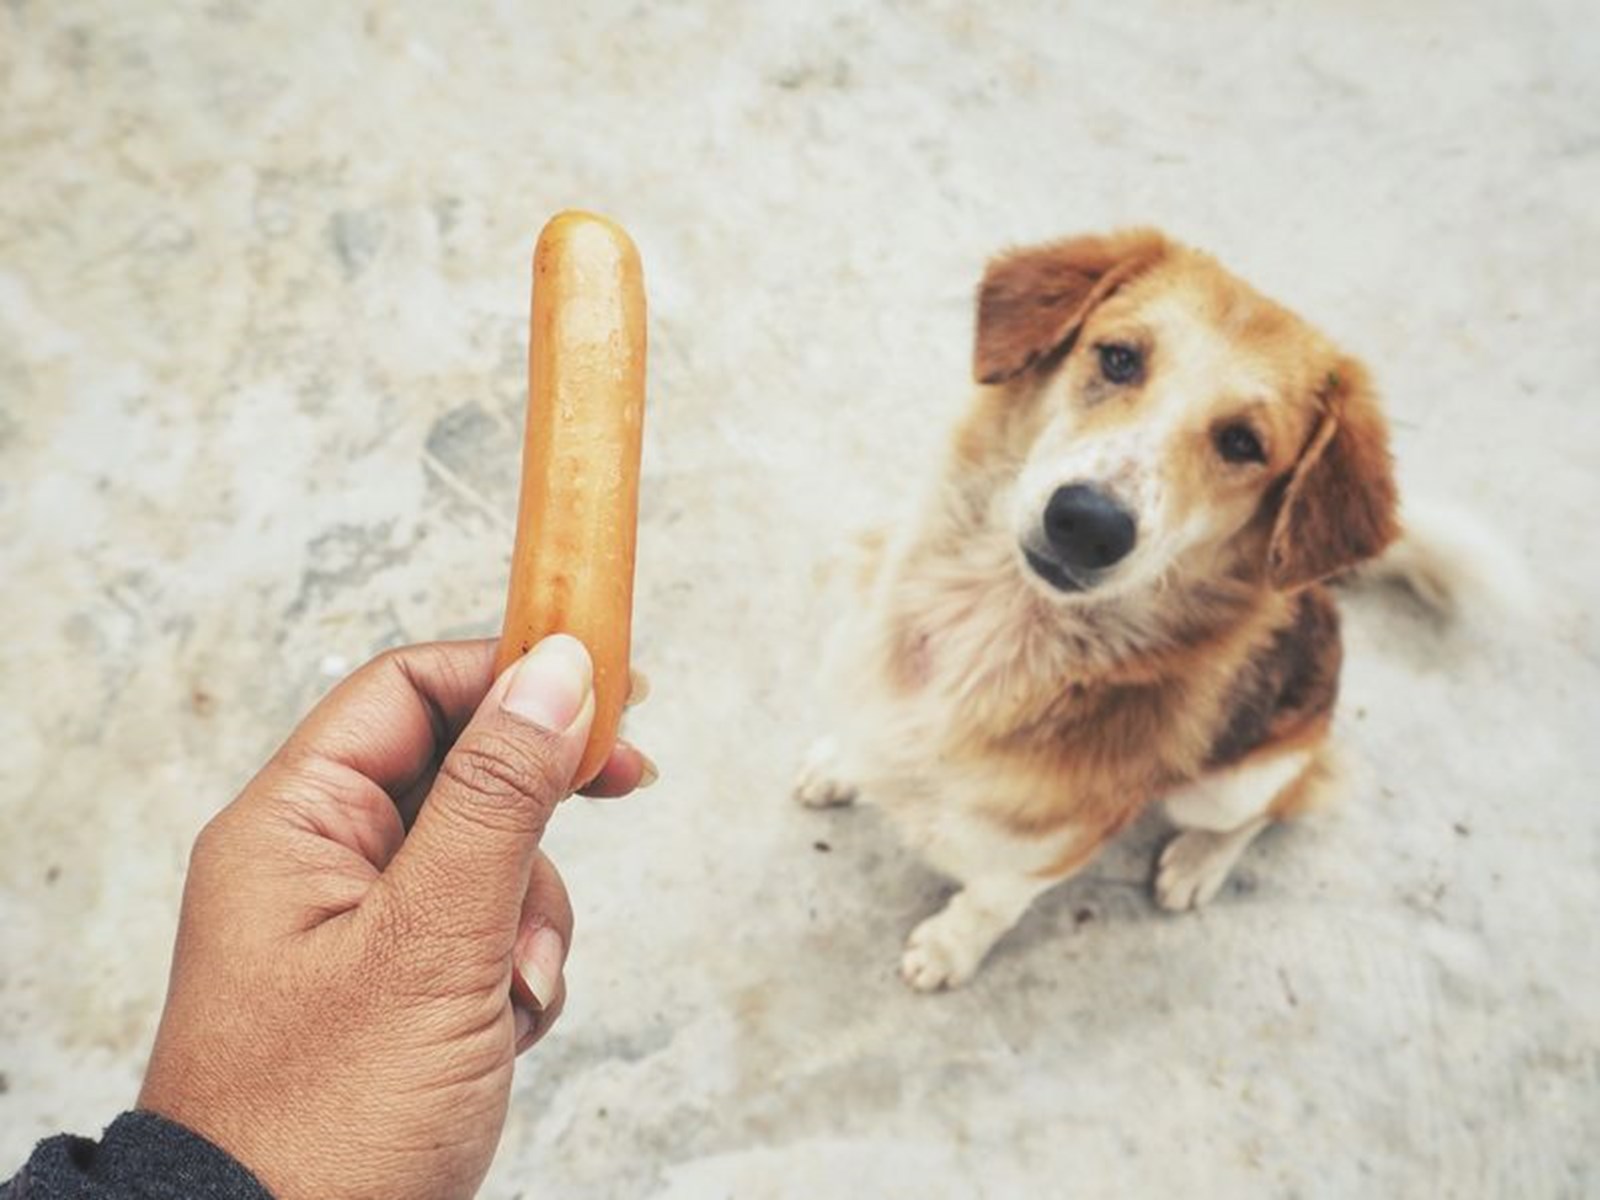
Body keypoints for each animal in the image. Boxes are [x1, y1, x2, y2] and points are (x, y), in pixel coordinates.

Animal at [793, 230, 1459, 992]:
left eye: (1243, 442)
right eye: (1118, 358)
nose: (1087, 523)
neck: (991, 629)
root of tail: (1324, 596)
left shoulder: (1051, 849)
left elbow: (989, 903)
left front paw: (946, 949)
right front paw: (840, 762)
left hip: (1233, 784)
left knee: (1279, 804)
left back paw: (1199, 862)